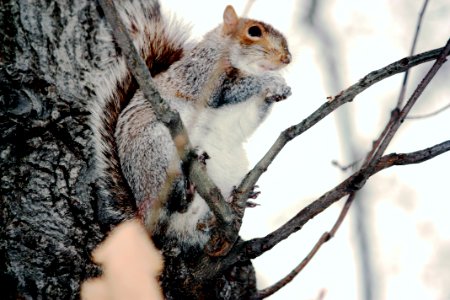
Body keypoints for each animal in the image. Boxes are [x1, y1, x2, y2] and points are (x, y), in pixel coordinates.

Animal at [90, 1, 292, 252]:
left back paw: (233, 201)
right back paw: (185, 192)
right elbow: (231, 89)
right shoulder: (203, 75)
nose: (287, 58)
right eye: (254, 31)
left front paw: (277, 92)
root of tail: (142, 218)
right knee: (170, 205)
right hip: (158, 154)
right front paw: (272, 82)